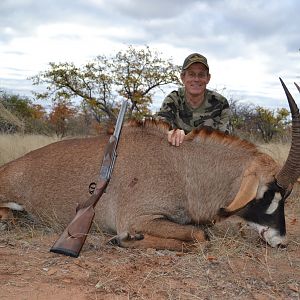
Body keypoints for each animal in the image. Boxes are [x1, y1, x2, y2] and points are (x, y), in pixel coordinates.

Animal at [0, 79, 298, 251]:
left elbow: (201, 233)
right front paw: (124, 239)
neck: (184, 170)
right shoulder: (139, 218)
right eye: (268, 194)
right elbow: (200, 236)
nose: (281, 241)